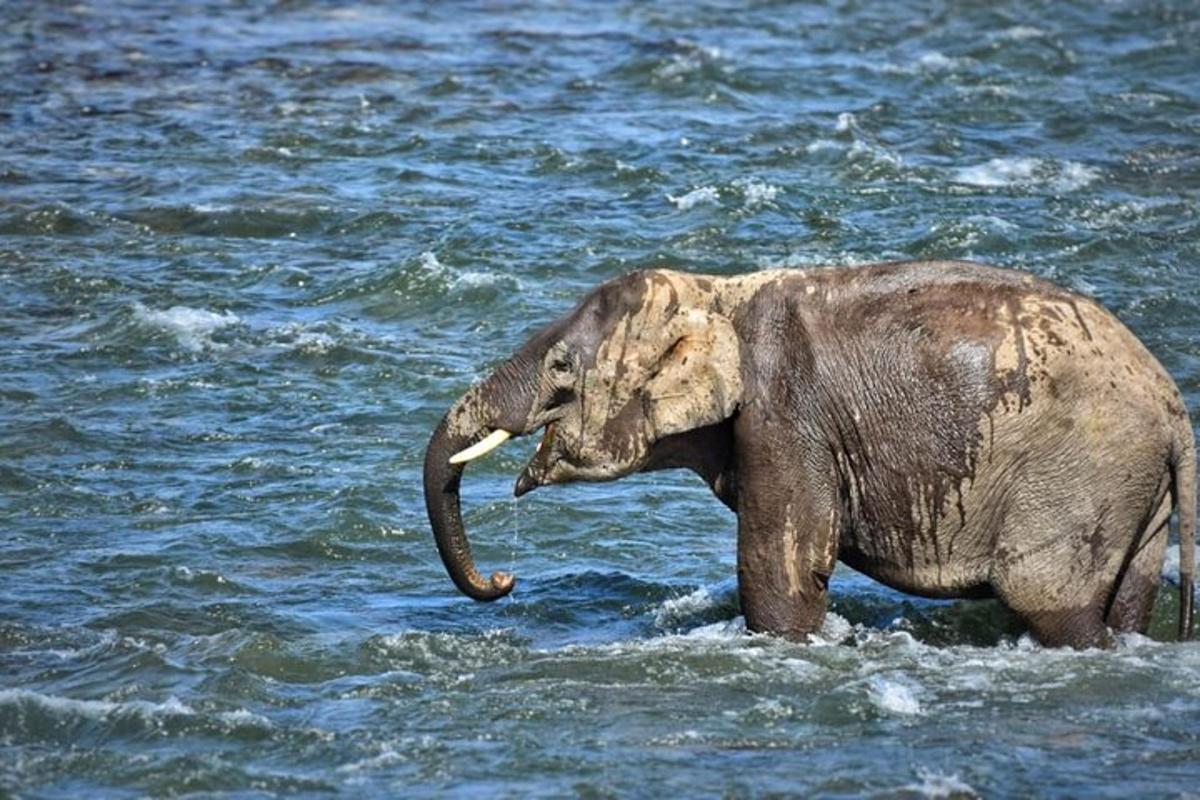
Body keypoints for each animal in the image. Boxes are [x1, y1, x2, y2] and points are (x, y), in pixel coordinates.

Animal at [422, 260, 1190, 647]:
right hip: (1133, 488)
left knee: (1049, 600)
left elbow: (780, 575)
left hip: (1081, 472)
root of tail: (1175, 410)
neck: (717, 292)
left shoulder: (785, 419)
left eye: (561, 369)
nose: (505, 581)